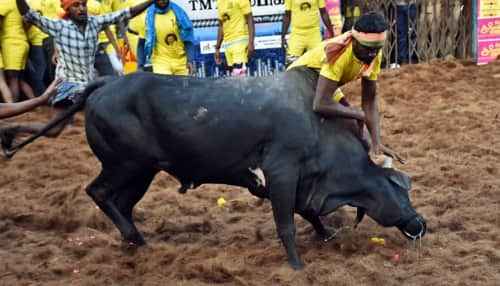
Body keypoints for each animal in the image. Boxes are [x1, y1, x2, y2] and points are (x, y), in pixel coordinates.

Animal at [3, 68, 426, 270]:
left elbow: (307, 213)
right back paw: (135, 238)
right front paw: (296, 265)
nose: (420, 223)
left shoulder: (292, 182)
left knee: (119, 202)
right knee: (100, 192)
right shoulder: (282, 172)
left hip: (142, 172)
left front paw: (325, 235)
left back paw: (135, 241)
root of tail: (105, 84)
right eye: (400, 188)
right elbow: (287, 223)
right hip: (126, 165)